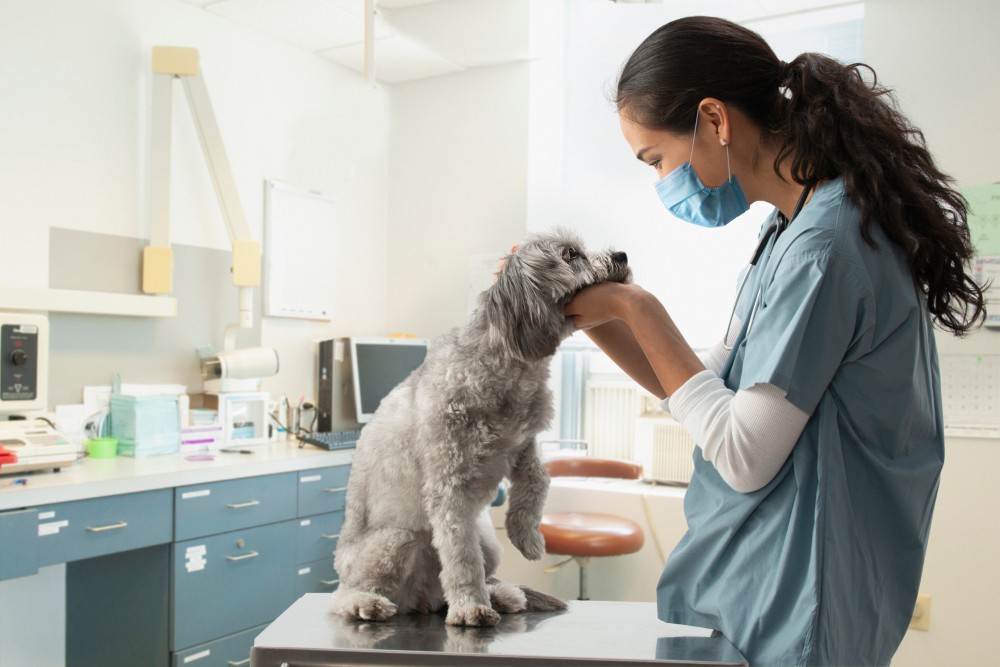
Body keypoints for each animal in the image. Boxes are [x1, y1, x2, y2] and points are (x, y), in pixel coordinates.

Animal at [336, 228, 632, 628]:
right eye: (571, 254)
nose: (622, 255)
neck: (509, 364)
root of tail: (421, 600)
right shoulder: (449, 487)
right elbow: (462, 557)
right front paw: (471, 607)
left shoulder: (523, 446)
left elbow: (539, 480)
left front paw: (528, 537)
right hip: (394, 540)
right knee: (345, 595)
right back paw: (368, 603)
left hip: (488, 543)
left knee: (467, 578)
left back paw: (503, 595)